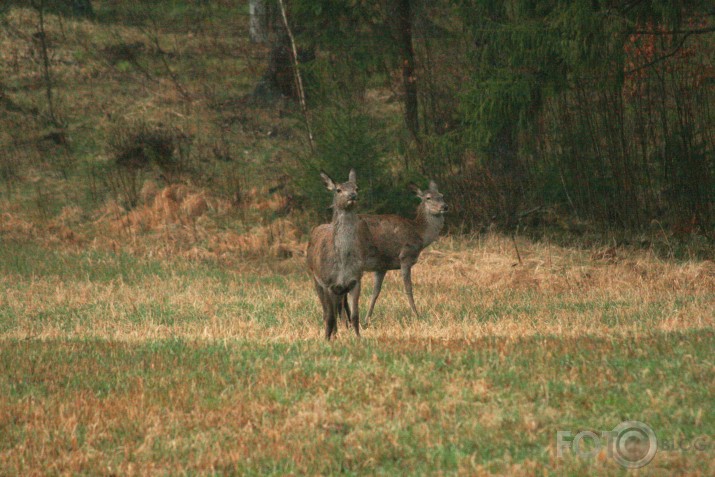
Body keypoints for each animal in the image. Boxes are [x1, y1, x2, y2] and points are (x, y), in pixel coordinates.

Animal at [304, 167, 370, 338]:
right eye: (339, 189)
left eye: (357, 187)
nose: (352, 195)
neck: (342, 263)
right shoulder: (328, 282)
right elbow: (330, 316)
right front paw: (327, 339)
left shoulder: (356, 279)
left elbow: (355, 315)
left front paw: (358, 337)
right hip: (315, 279)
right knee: (327, 311)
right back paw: (333, 333)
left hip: (340, 290)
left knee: (341, 309)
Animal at [342, 180, 448, 326]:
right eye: (428, 198)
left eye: (442, 195)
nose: (445, 206)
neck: (419, 234)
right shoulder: (405, 256)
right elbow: (408, 288)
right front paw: (417, 315)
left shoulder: (381, 266)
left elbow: (376, 292)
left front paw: (367, 319)